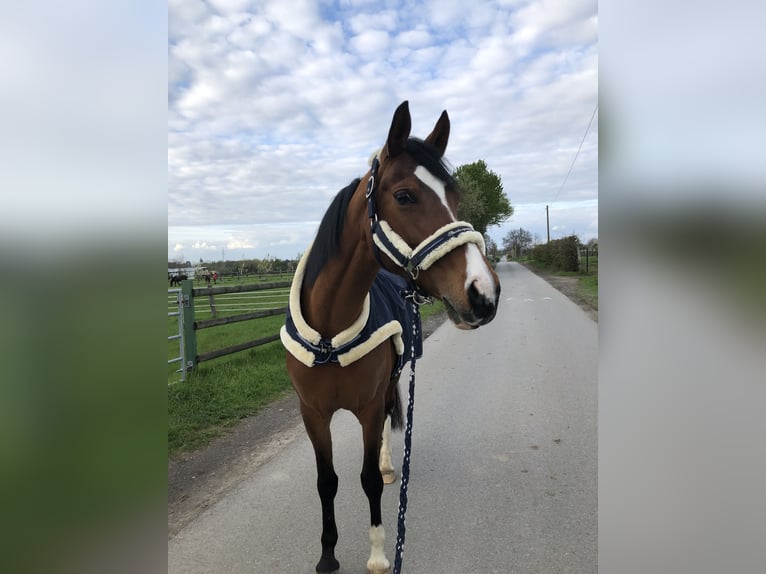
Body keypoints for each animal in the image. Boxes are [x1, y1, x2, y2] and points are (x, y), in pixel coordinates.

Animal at [282, 103, 504, 574]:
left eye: (455, 197)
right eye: (404, 196)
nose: (484, 293)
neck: (330, 333)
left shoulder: (366, 407)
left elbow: (367, 479)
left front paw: (380, 555)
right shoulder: (312, 414)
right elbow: (326, 481)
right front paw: (327, 555)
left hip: (390, 383)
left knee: (386, 424)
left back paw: (387, 467)